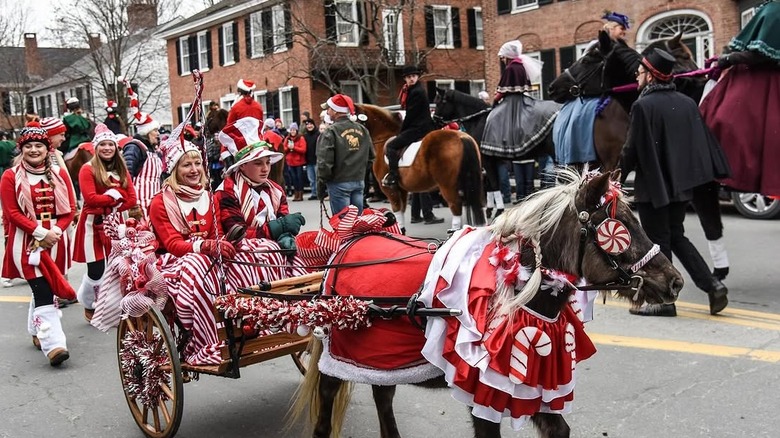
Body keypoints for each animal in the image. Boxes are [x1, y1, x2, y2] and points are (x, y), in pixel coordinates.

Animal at [292, 170, 684, 438]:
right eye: (620, 228)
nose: (674, 281)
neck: (517, 291)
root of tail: (350, 241)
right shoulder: (485, 393)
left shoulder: (536, 386)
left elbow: (559, 429)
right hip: (336, 365)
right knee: (325, 417)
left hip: (382, 364)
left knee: (383, 402)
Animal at [354, 104, 488, 231]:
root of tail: (461, 137)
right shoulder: (401, 189)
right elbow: (402, 210)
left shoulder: (389, 189)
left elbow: (397, 210)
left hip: (448, 186)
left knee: (456, 206)